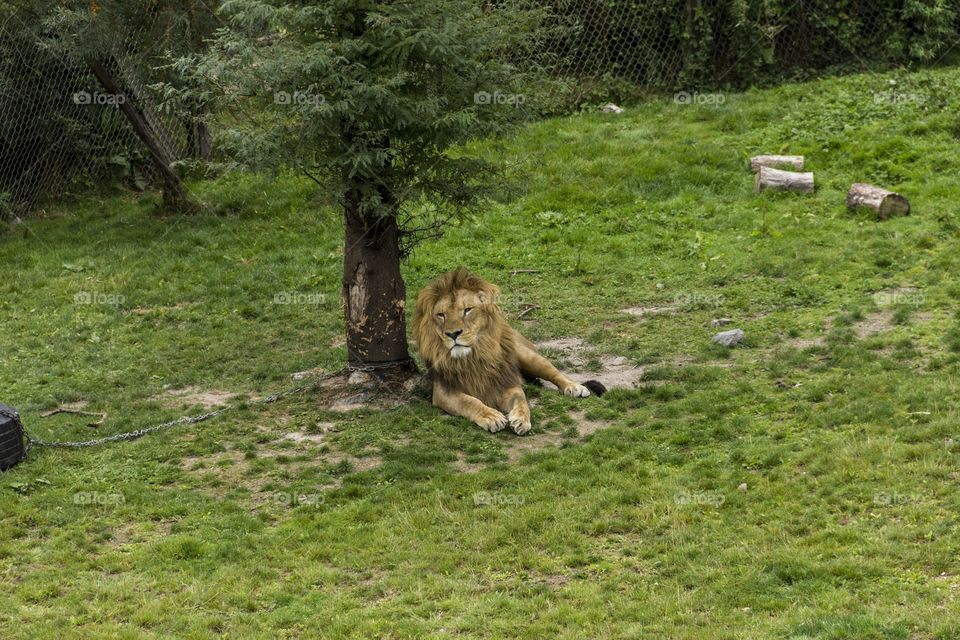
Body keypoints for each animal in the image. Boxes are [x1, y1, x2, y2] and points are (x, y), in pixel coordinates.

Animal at [412, 264, 608, 436]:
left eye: (467, 310)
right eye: (441, 315)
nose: (452, 334)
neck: (474, 356)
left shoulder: (506, 380)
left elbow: (520, 398)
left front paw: (521, 419)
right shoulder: (443, 391)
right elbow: (469, 401)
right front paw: (491, 416)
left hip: (527, 355)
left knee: (554, 371)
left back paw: (574, 387)